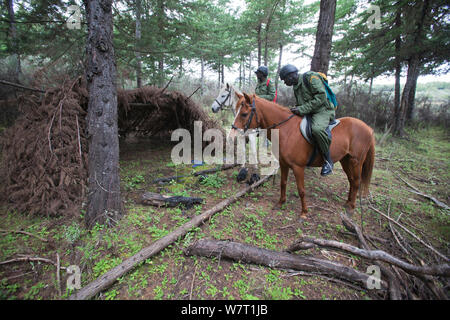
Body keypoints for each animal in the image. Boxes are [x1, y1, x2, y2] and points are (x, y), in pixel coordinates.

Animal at [229, 91, 376, 219]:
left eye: (244, 114)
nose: (232, 136)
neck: (287, 129)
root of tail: (368, 128)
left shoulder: (298, 167)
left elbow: (301, 190)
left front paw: (304, 212)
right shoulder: (284, 164)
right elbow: (283, 183)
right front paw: (280, 203)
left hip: (356, 162)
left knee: (356, 182)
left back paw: (351, 208)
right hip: (345, 160)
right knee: (351, 180)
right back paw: (347, 203)